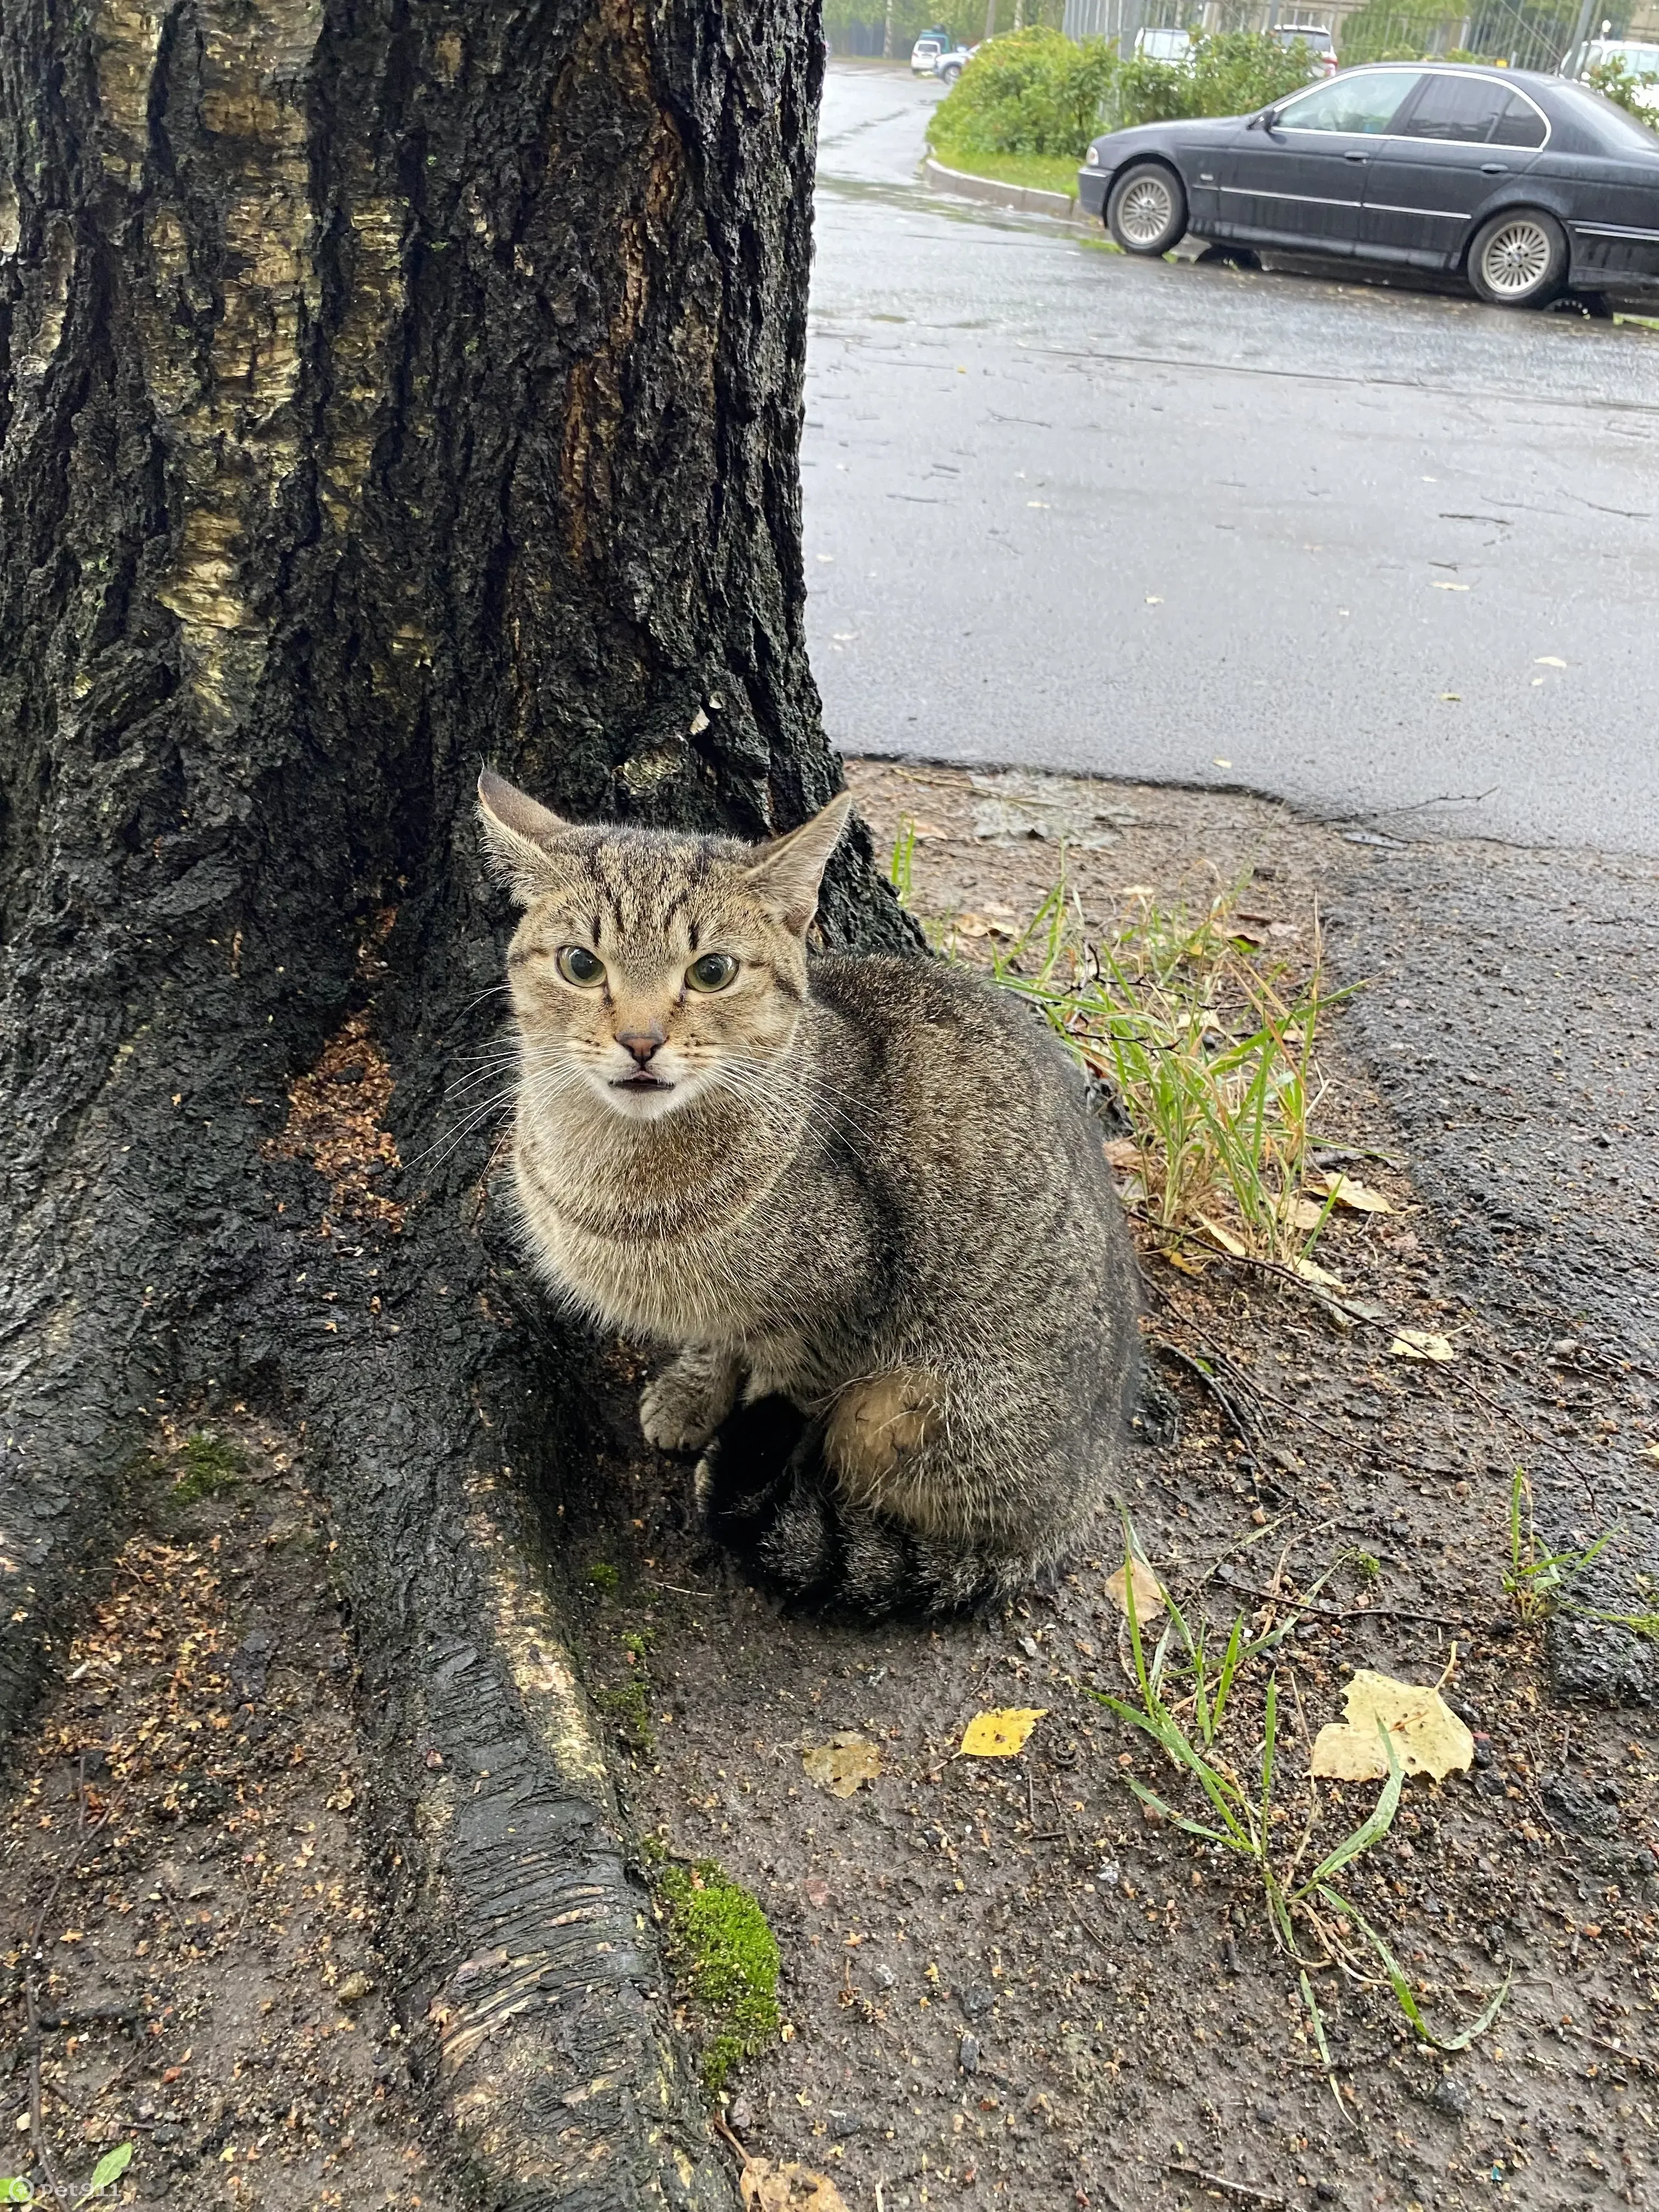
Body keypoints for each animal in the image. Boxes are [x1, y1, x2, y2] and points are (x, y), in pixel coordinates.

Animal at [473, 770, 1141, 1619]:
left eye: (713, 972)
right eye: (580, 965)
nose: (641, 1041)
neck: (621, 1176)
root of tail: (1073, 1507)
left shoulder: (832, 1315)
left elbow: (777, 1391)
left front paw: (728, 1454)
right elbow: (716, 1342)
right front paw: (692, 1395)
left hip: (898, 1407)